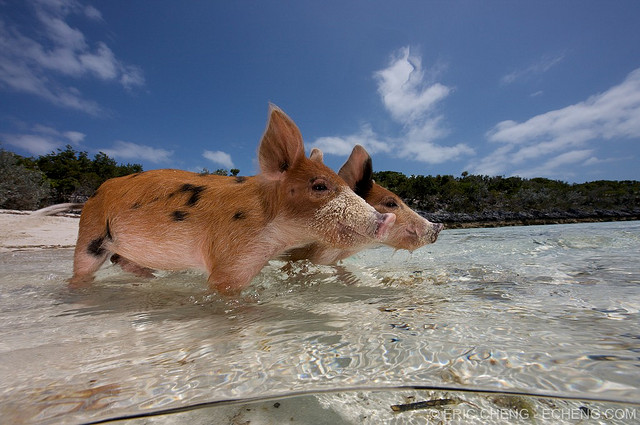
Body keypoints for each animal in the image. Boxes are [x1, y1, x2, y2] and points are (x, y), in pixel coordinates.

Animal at [55, 106, 398, 294]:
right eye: (319, 186)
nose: (388, 218)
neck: (275, 236)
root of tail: (96, 192)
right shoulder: (230, 257)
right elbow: (223, 290)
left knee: (119, 260)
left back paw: (150, 277)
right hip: (90, 234)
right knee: (83, 270)